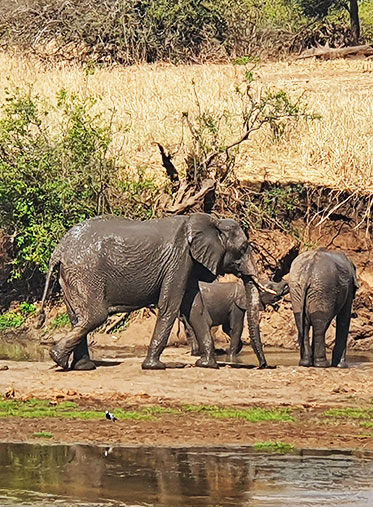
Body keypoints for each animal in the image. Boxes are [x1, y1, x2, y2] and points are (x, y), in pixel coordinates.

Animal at [36, 212, 274, 372]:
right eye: (243, 248)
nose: (263, 366)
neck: (212, 222)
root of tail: (59, 249)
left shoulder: (188, 264)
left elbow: (195, 309)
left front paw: (207, 364)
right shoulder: (179, 259)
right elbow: (171, 305)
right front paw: (154, 366)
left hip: (72, 276)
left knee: (78, 317)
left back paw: (83, 367)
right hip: (85, 272)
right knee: (95, 316)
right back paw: (58, 358)